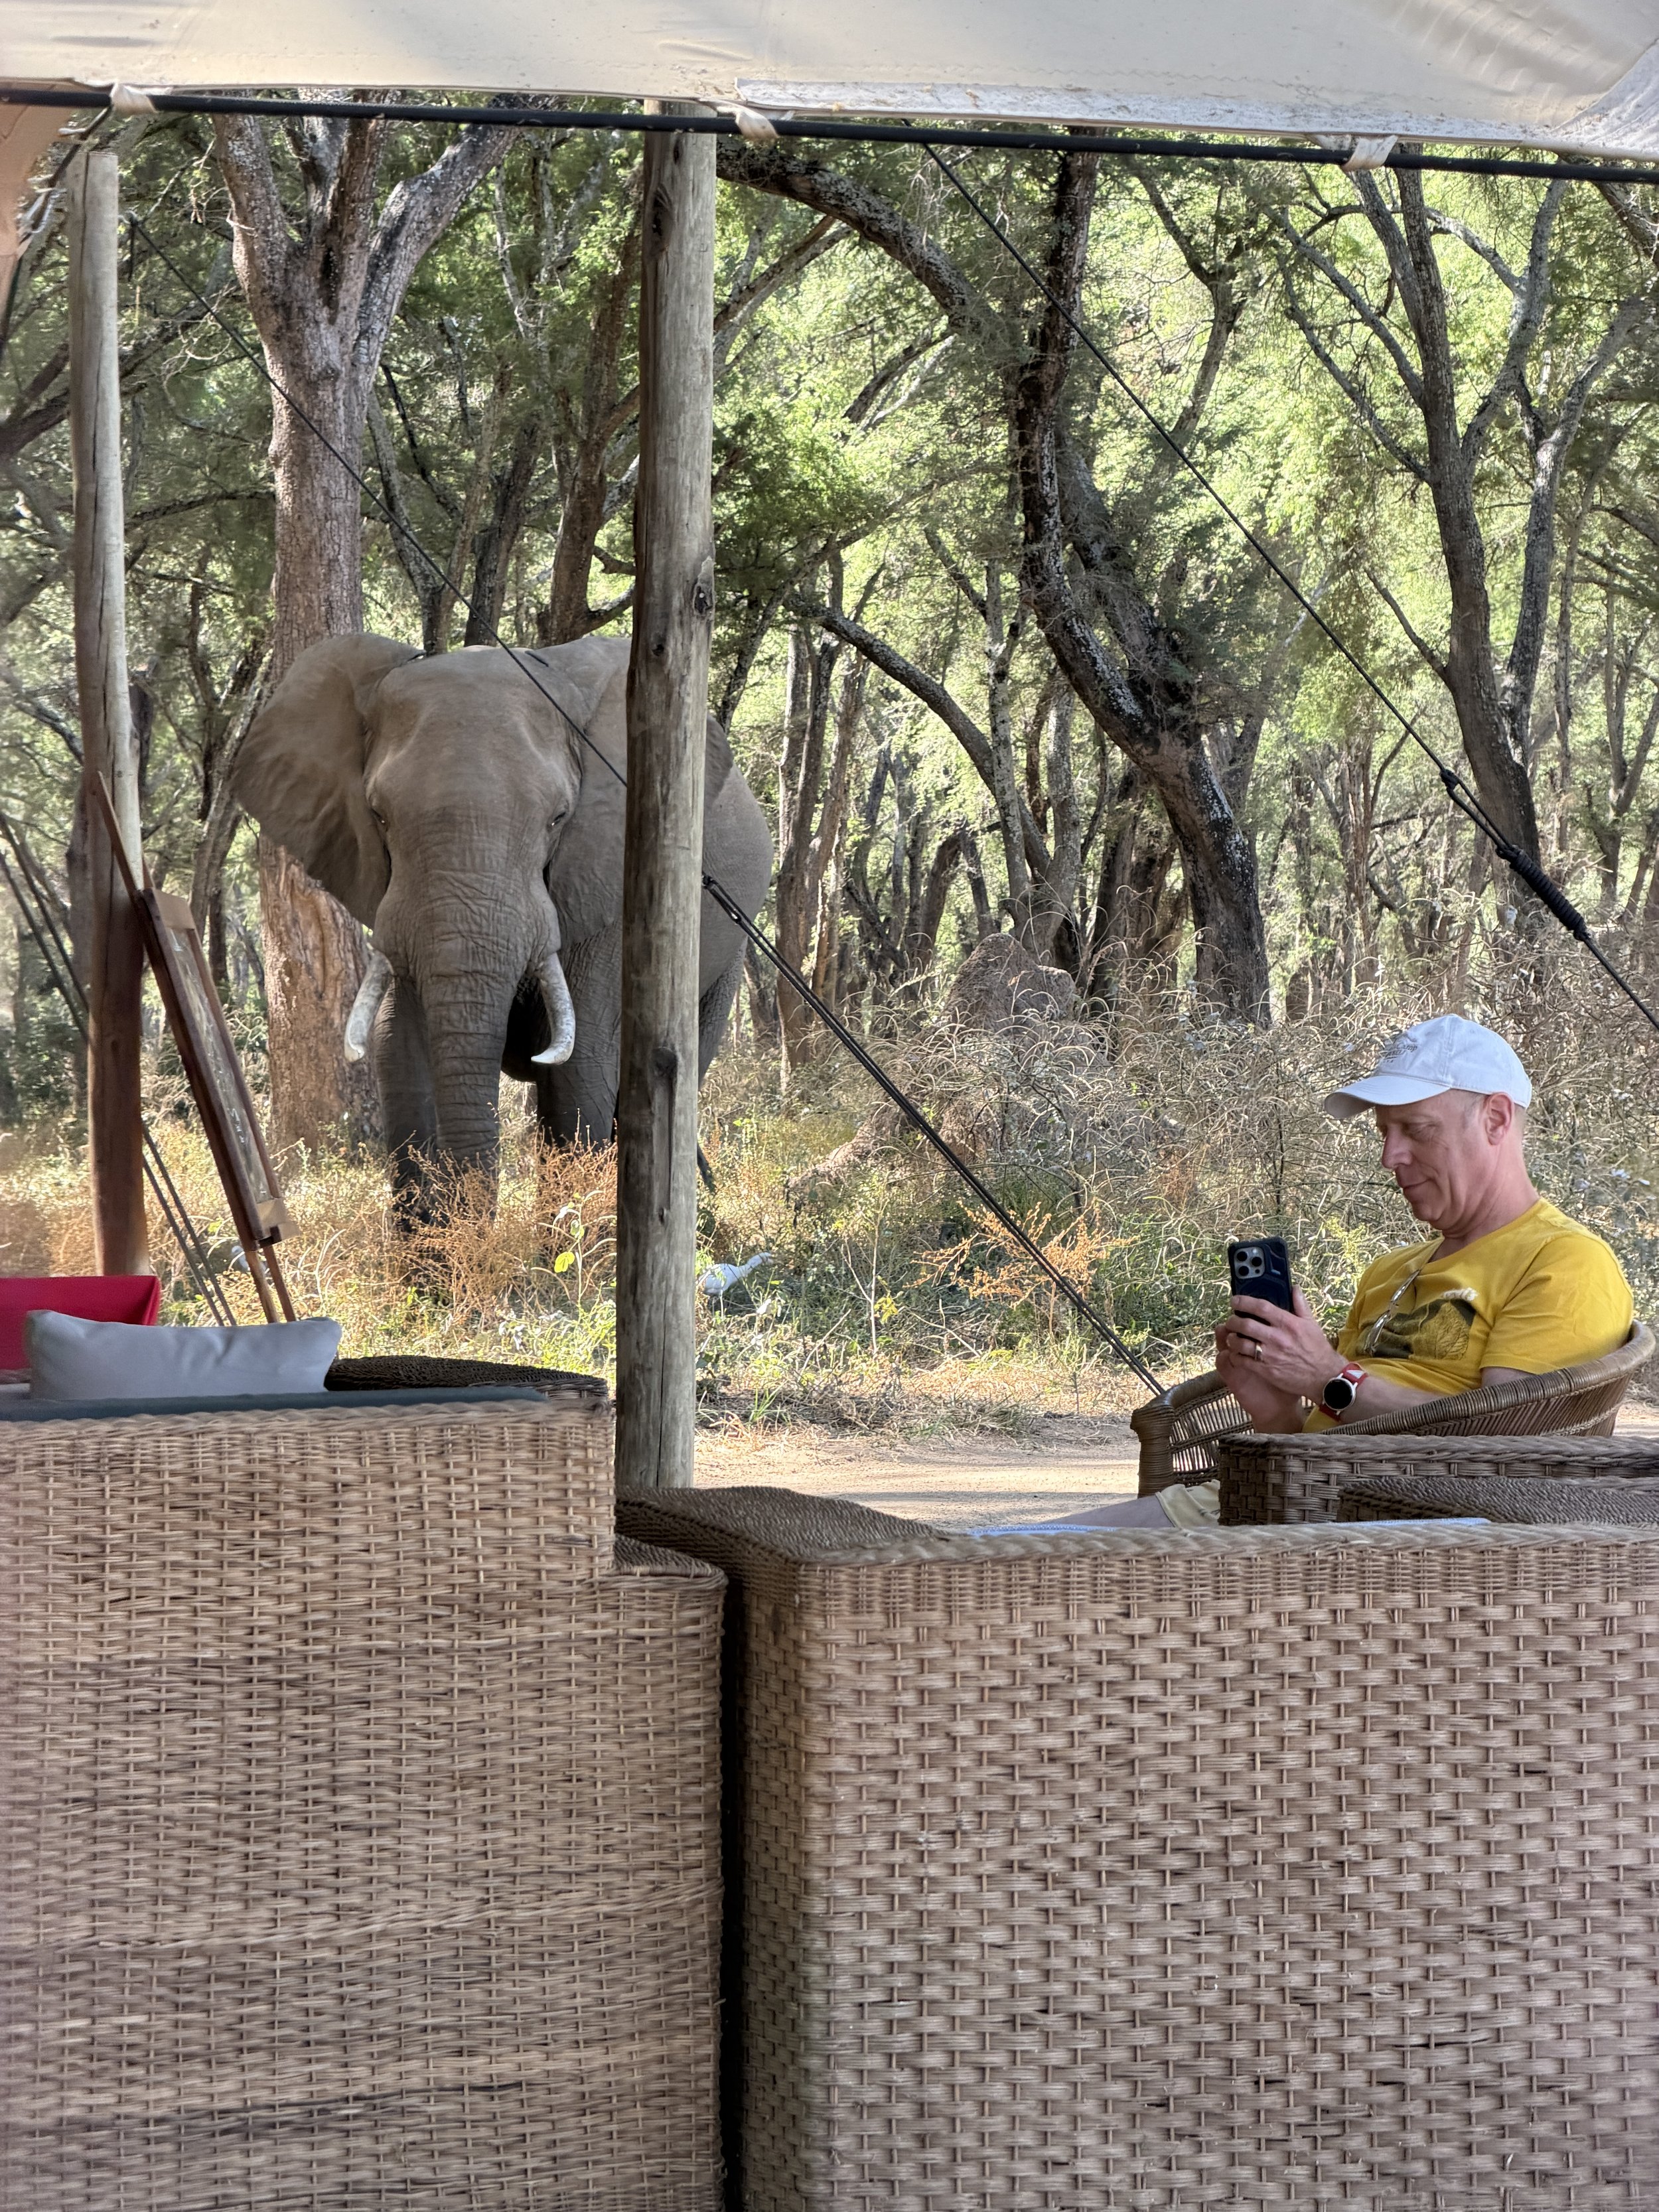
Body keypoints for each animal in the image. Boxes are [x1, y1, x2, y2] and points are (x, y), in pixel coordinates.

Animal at [233, 632, 772, 1210]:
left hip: (728, 950)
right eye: (379, 815)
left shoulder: (607, 882)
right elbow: (398, 1047)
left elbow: (582, 1069)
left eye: (558, 818)